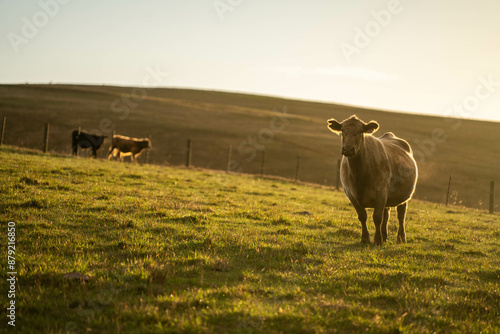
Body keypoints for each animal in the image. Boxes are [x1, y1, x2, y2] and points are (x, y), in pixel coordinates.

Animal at [328, 115, 418, 245]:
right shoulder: (351, 195)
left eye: (360, 131)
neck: (359, 175)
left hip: (403, 196)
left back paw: (401, 238)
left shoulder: (381, 193)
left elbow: (377, 218)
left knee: (401, 216)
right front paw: (365, 238)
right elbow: (362, 216)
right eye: (342, 131)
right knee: (387, 214)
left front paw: (377, 240)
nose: (348, 149)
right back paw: (385, 236)